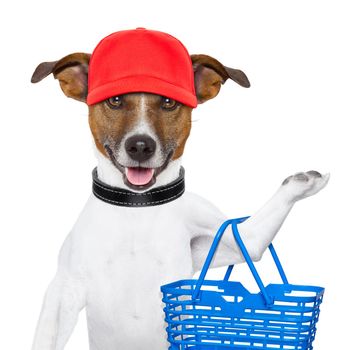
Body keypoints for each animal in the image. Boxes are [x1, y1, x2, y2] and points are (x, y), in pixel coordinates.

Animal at [30, 28, 328, 348]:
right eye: (116, 101)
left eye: (168, 103)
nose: (140, 146)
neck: (137, 208)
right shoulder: (63, 290)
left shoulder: (242, 240)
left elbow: (254, 234)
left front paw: (306, 179)